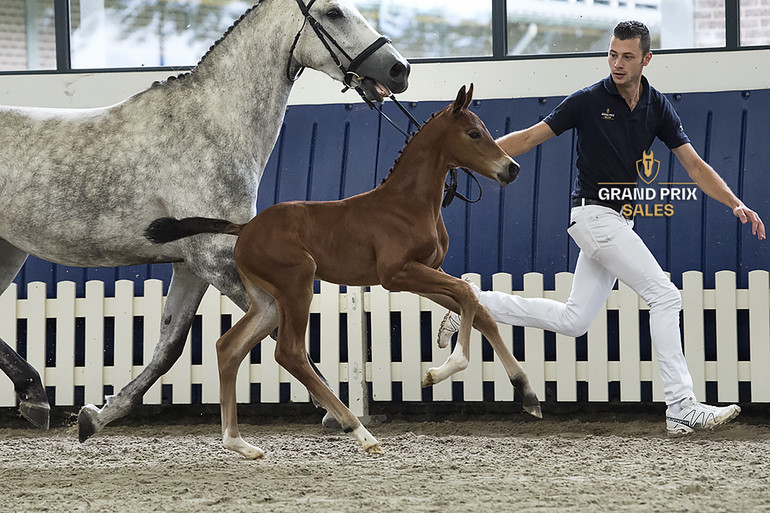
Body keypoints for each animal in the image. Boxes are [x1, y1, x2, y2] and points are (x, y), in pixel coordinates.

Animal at [0, 0, 408, 440]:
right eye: (334, 12)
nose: (399, 69)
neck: (212, 126)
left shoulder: (191, 266)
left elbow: (169, 346)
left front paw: (99, 415)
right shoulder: (215, 259)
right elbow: (280, 328)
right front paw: (336, 411)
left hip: (8, 251)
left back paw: (34, 396)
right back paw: (34, 395)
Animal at [144, 86, 540, 458]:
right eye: (473, 133)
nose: (512, 168)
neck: (408, 204)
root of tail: (246, 228)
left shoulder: (425, 272)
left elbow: (478, 308)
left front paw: (527, 393)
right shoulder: (396, 274)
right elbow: (467, 293)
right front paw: (441, 370)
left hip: (268, 302)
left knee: (229, 347)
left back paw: (239, 443)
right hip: (297, 285)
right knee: (289, 352)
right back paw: (360, 432)